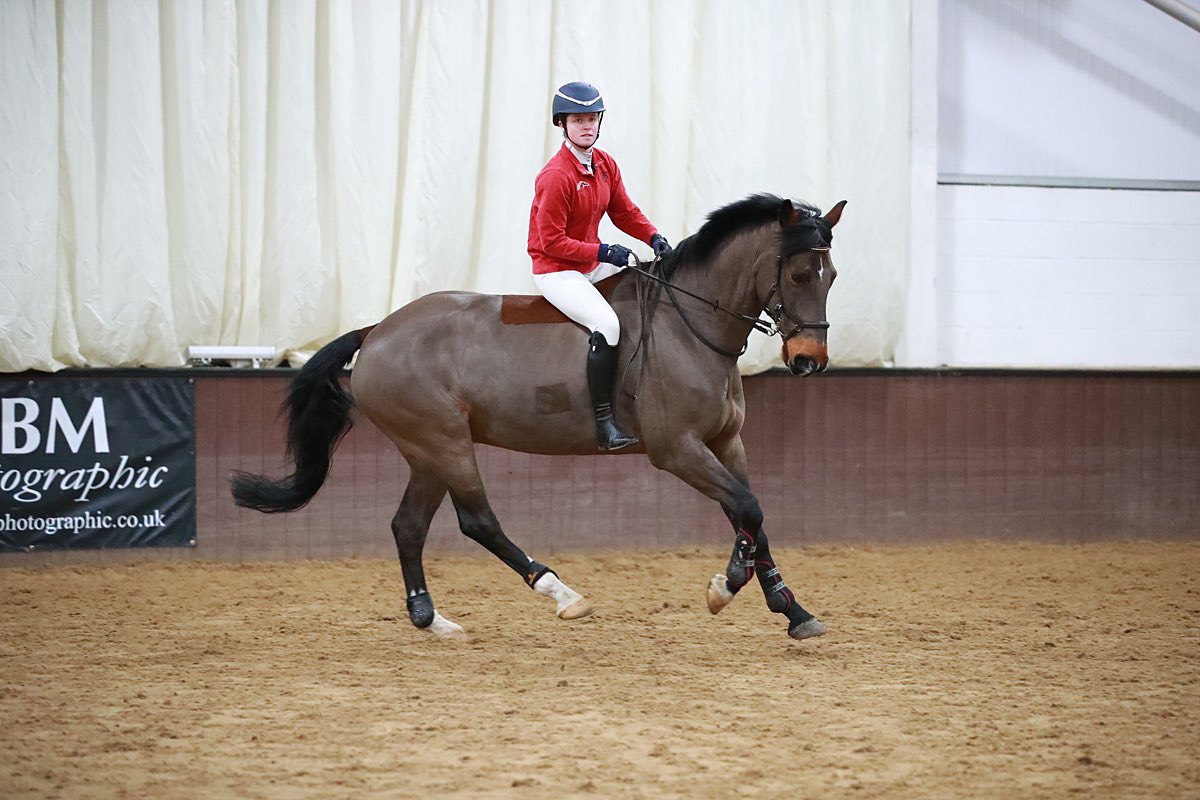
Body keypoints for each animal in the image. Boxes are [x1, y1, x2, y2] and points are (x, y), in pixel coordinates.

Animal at [232, 193, 846, 641]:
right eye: (798, 276)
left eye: (832, 276)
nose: (809, 362)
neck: (691, 325)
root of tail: (377, 330)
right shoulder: (677, 449)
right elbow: (748, 507)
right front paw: (737, 585)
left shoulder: (724, 442)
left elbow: (750, 514)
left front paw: (784, 606)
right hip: (444, 442)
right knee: (477, 522)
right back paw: (562, 594)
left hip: (426, 451)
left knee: (408, 526)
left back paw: (430, 618)